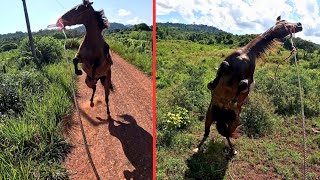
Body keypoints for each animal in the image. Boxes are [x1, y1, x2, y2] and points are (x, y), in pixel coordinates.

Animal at [198, 16, 302, 155]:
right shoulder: (226, 62)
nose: (300, 25)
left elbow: (243, 84)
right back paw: (198, 148)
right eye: (284, 21)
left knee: (226, 135)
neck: (245, 54)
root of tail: (221, 117)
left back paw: (232, 151)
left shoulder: (249, 79)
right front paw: (212, 84)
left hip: (233, 122)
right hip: (209, 116)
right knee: (207, 133)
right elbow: (223, 66)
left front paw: (234, 99)